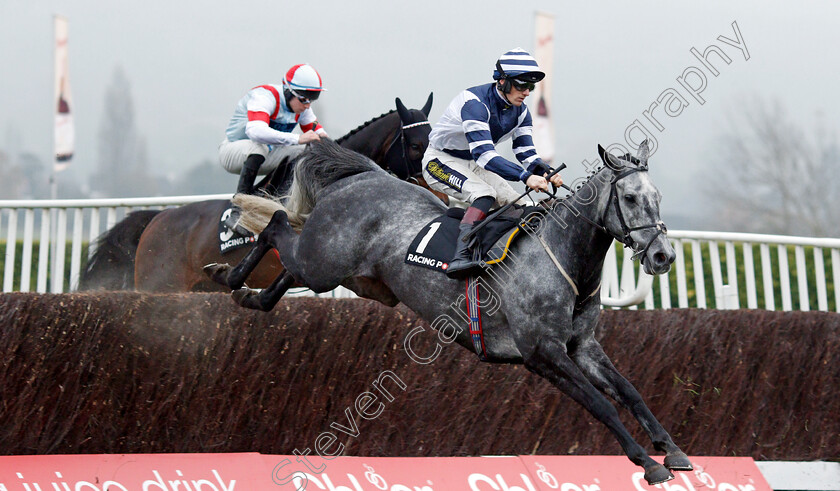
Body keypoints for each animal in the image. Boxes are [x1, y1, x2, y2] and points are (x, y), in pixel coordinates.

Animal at [210, 138, 688, 484]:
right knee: (275, 225)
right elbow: (600, 404)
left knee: (286, 268)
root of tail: (363, 176)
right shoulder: (542, 353)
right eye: (630, 198)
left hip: (354, 278)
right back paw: (228, 276)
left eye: (659, 196)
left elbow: (629, 392)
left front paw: (673, 450)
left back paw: (249, 295)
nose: (663, 256)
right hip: (326, 263)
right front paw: (648, 463)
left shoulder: (582, 346)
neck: (563, 258)